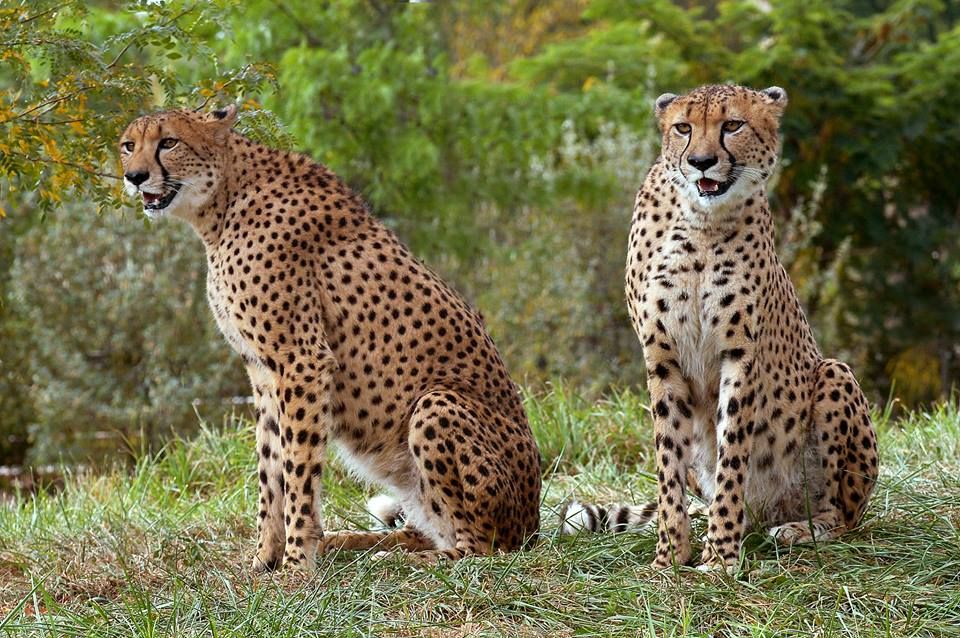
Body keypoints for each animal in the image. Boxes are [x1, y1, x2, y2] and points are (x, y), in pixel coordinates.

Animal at [116, 106, 544, 576]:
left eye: (169, 142)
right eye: (128, 145)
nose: (134, 176)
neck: (222, 203)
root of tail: (534, 524)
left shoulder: (301, 360)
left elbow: (298, 470)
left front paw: (295, 566)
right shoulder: (263, 371)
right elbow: (271, 468)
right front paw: (264, 558)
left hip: (437, 404)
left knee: (481, 547)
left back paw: (408, 561)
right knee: (421, 529)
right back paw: (353, 542)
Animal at [560, 84, 880, 568]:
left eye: (732, 125)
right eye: (683, 127)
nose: (701, 161)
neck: (700, 223)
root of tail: (766, 514)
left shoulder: (738, 355)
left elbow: (733, 453)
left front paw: (720, 557)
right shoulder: (662, 358)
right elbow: (668, 464)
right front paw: (670, 556)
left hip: (833, 374)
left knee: (840, 512)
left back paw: (799, 529)